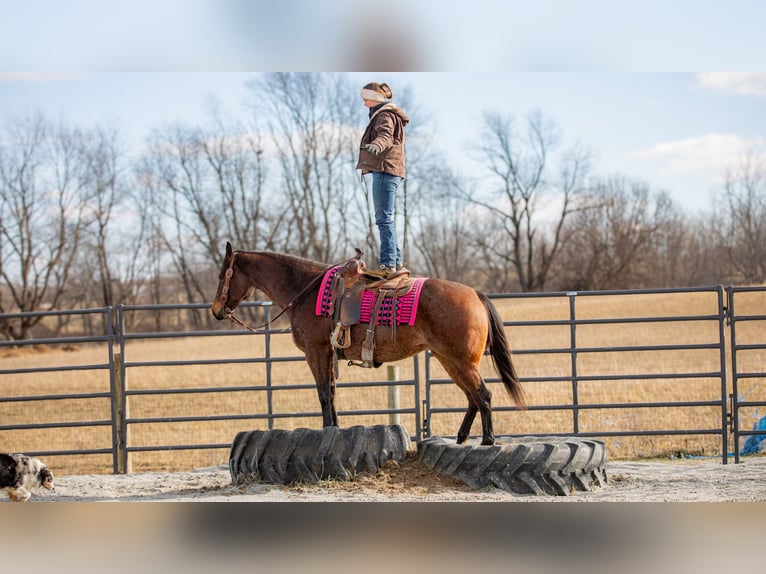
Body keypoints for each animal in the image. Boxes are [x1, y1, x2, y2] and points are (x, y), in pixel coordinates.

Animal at [212, 242, 528, 446]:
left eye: (221, 275)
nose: (216, 310)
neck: (305, 290)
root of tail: (475, 293)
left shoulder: (316, 352)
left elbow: (323, 394)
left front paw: (327, 430)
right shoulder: (328, 355)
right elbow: (332, 393)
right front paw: (334, 428)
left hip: (461, 362)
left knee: (483, 395)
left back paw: (487, 441)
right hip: (448, 360)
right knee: (472, 397)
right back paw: (462, 438)